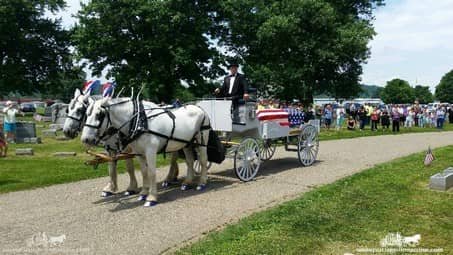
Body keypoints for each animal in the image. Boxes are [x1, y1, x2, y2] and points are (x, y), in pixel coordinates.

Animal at [81, 96, 210, 206]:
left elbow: (152, 172)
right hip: (187, 143)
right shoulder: (139, 152)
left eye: (99, 115)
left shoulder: (150, 151)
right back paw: (187, 183)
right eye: (86, 114)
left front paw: (151, 197)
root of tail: (199, 107)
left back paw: (202, 183)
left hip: (202, 139)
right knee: (190, 161)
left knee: (203, 160)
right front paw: (143, 193)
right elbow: (144, 172)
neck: (140, 122)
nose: (85, 139)